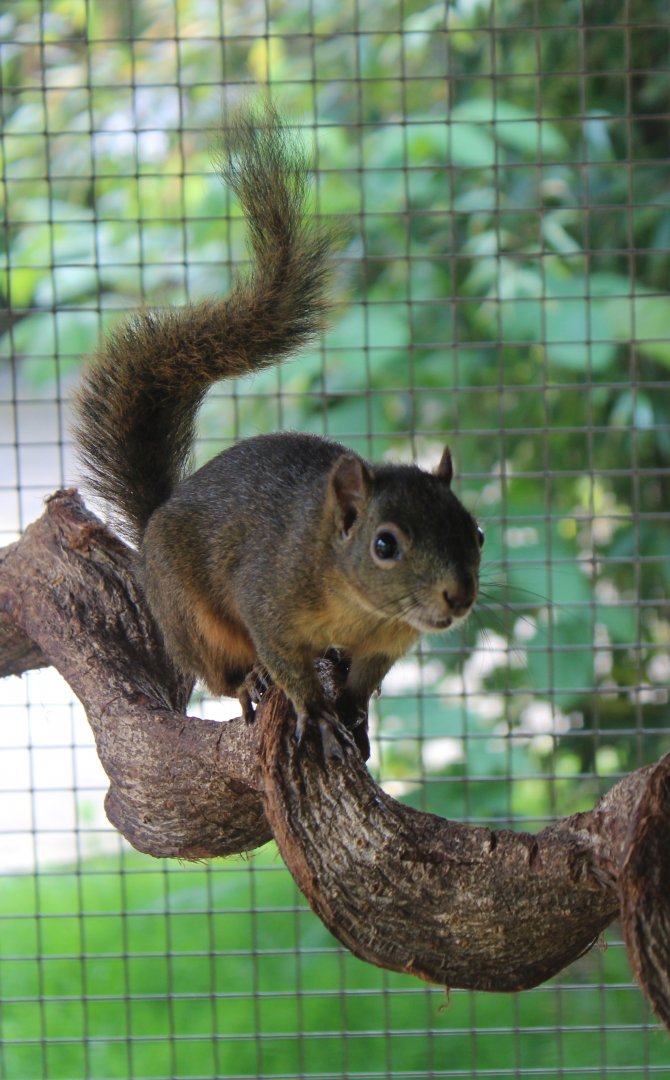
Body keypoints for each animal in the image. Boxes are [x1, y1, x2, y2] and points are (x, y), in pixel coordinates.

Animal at [73, 101, 484, 760]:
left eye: (477, 533)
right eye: (385, 545)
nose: (459, 595)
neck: (361, 606)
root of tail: (156, 517)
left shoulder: (388, 645)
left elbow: (364, 683)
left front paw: (354, 715)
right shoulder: (269, 598)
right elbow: (287, 663)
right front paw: (316, 711)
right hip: (191, 621)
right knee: (223, 672)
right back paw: (249, 685)